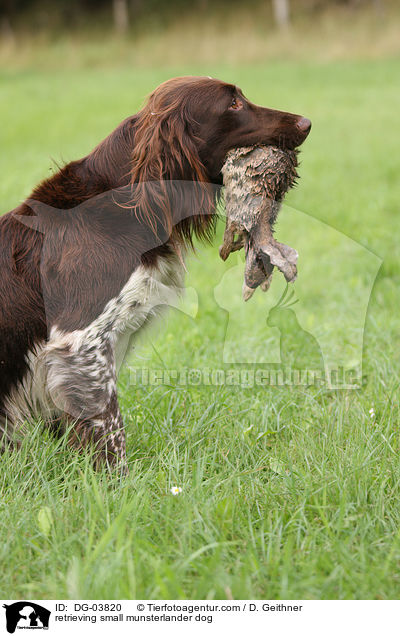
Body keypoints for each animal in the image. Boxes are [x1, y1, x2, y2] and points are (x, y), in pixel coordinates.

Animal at [0, 76, 312, 472]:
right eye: (233, 104)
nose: (306, 122)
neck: (127, 202)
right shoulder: (81, 342)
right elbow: (109, 431)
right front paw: (116, 482)